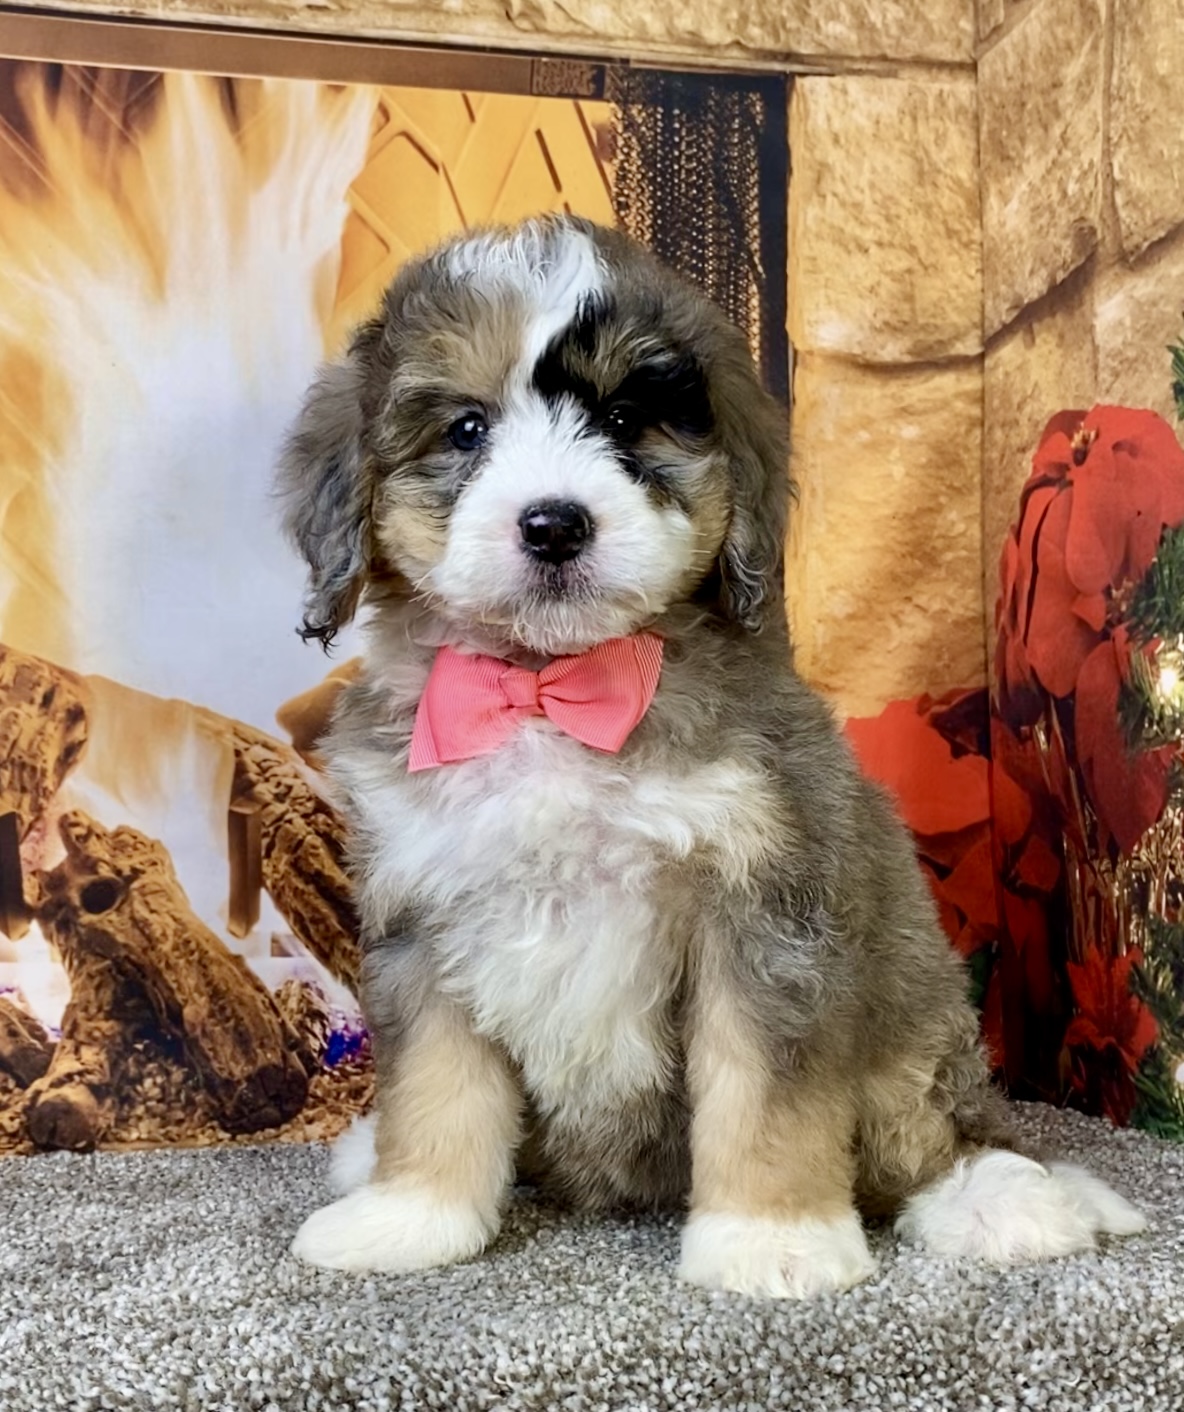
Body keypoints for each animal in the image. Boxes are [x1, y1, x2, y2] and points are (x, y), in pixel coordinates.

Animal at [278, 215, 1145, 1297]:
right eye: (468, 430)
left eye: (625, 420)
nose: (554, 523)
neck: (554, 690)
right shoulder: (424, 913)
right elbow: (435, 1086)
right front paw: (409, 1216)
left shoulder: (760, 910)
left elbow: (762, 1095)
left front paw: (771, 1238)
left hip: (917, 1036)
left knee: (933, 1136)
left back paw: (1001, 1197)